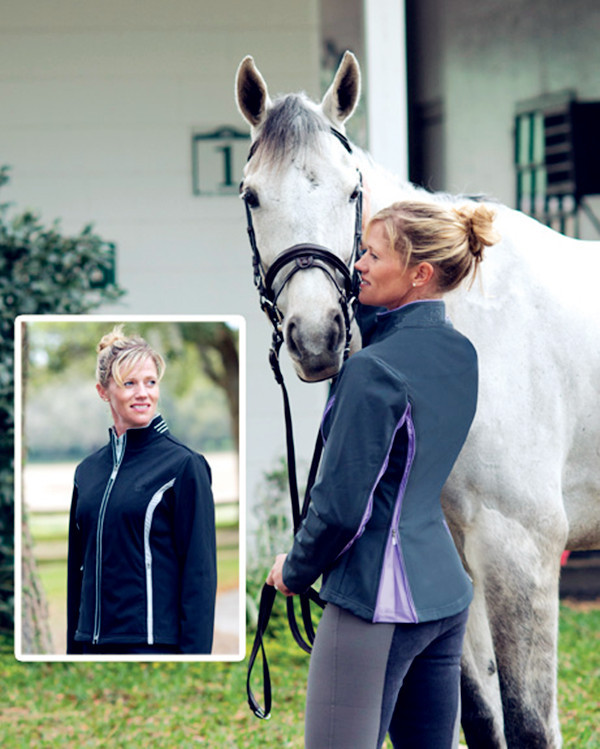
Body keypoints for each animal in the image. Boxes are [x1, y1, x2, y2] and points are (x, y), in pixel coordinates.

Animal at [234, 49, 600, 744]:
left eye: (352, 189)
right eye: (251, 194)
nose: (317, 336)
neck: (472, 318)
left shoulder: (521, 550)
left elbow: (528, 724)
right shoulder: (453, 553)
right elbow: (481, 716)